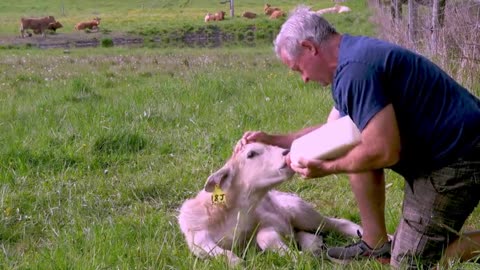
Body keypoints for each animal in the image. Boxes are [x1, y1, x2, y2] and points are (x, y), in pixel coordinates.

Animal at [178, 143, 362, 266]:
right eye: (251, 154)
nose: (288, 151)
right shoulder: (196, 237)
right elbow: (212, 250)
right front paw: (238, 262)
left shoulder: (273, 220)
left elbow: (264, 236)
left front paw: (293, 256)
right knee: (308, 235)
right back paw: (314, 246)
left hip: (301, 211)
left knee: (336, 223)